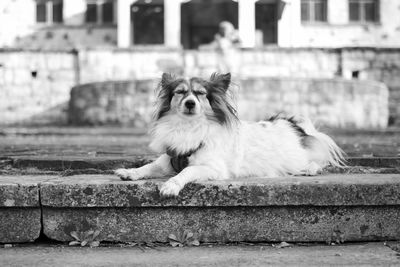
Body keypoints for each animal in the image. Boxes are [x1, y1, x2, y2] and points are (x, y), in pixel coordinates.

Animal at [114, 73, 346, 197]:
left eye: (200, 94)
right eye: (180, 93)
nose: (190, 103)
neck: (189, 127)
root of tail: (292, 124)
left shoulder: (213, 168)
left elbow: (187, 171)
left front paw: (172, 185)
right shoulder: (168, 160)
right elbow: (148, 167)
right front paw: (131, 172)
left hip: (298, 157)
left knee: (321, 162)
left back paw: (310, 169)